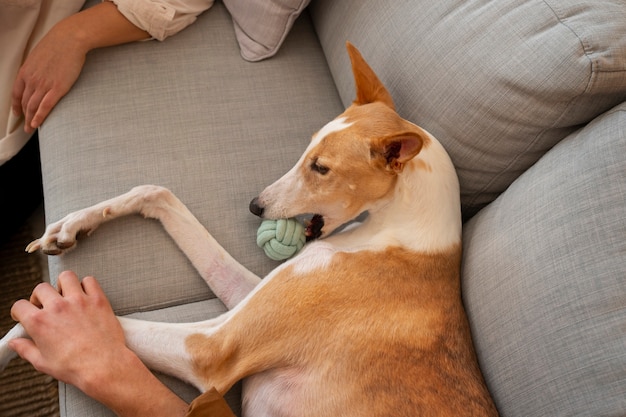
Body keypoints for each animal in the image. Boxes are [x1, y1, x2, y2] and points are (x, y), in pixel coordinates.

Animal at [0, 43, 498, 416]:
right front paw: (70, 225)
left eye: (321, 168)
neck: (395, 234)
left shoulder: (212, 349)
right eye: (307, 151)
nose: (255, 206)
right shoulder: (246, 298)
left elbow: (39, 322)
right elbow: (157, 192)